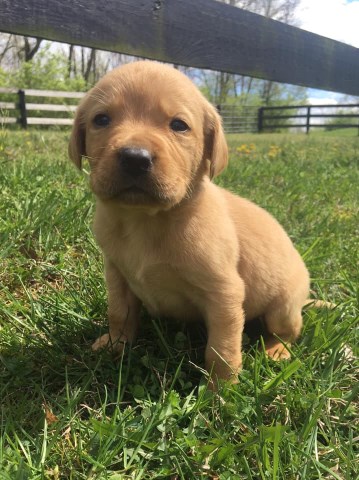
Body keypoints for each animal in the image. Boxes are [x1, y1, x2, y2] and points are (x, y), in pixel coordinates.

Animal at [69, 60, 310, 384]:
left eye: (179, 125)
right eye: (101, 119)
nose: (135, 158)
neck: (146, 220)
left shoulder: (225, 293)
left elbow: (222, 349)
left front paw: (221, 389)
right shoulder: (116, 274)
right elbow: (119, 313)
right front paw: (115, 345)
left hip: (283, 307)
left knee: (288, 332)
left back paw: (276, 349)